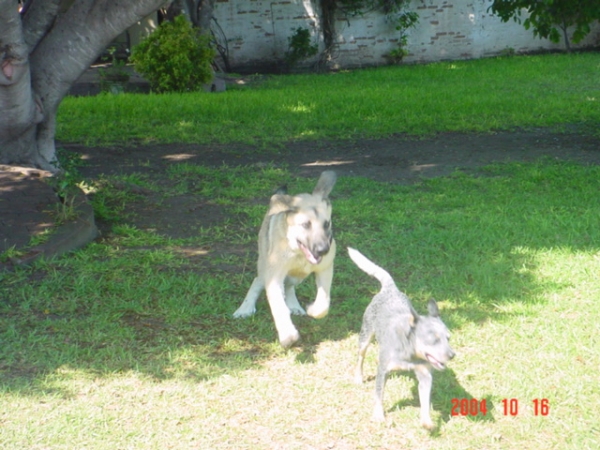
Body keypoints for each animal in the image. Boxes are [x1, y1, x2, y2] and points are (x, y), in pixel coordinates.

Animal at [233, 171, 338, 346]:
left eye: (326, 224)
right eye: (305, 225)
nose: (323, 250)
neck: (297, 253)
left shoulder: (325, 268)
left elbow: (323, 301)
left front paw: (313, 309)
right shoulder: (273, 277)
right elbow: (279, 307)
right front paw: (288, 334)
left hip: (297, 276)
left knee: (289, 286)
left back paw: (294, 305)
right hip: (265, 266)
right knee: (258, 281)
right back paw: (245, 309)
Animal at [346, 248, 454, 430]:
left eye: (448, 338)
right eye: (433, 339)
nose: (452, 355)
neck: (409, 355)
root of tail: (390, 289)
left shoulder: (425, 375)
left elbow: (425, 401)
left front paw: (427, 421)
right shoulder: (383, 371)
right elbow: (379, 394)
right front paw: (378, 415)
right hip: (365, 335)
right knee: (360, 356)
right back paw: (358, 377)